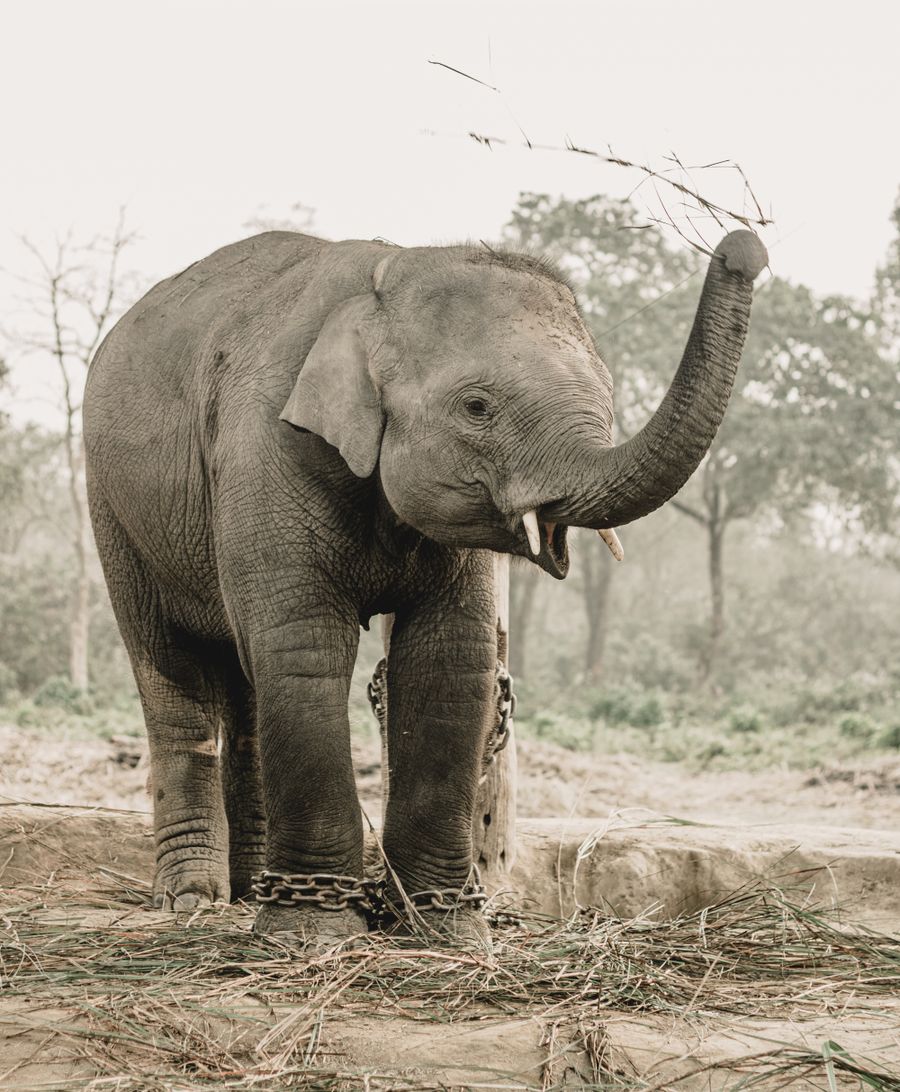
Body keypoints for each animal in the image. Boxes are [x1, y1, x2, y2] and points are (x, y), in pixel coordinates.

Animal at [83, 227, 767, 947]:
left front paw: (445, 931)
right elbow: (304, 647)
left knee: (244, 686)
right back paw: (192, 901)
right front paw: (313, 933)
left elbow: (450, 658)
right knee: (173, 667)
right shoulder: (265, 448)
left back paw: (246, 893)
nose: (744, 248)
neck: (390, 274)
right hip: (113, 506)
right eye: (477, 407)